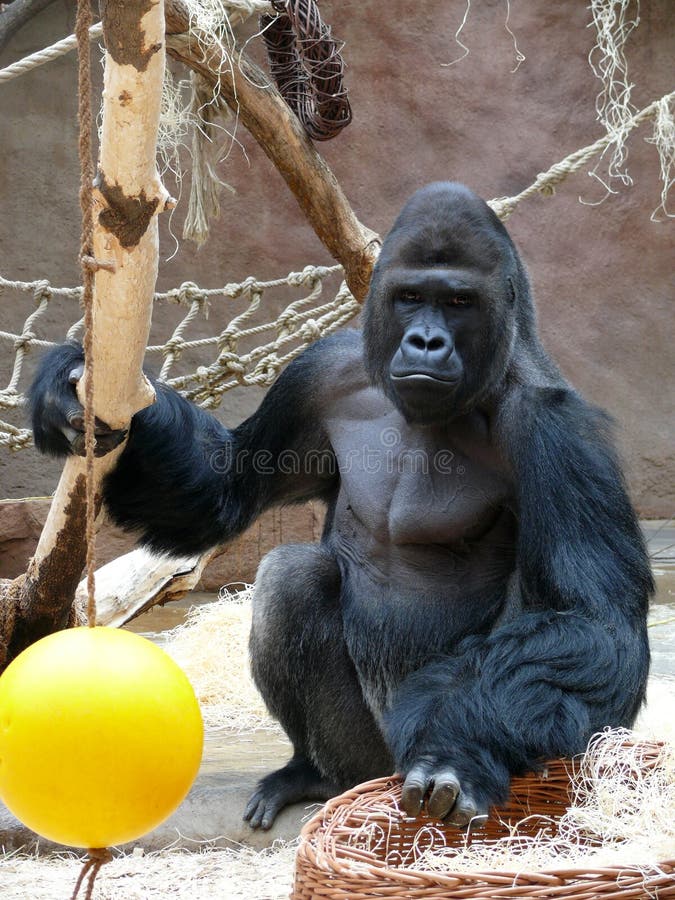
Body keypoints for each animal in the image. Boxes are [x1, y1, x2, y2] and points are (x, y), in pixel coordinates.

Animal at [29, 181, 652, 828]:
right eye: (410, 297)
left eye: (459, 301)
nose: (426, 341)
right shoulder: (321, 372)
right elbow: (223, 489)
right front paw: (67, 382)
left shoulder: (558, 429)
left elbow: (590, 622)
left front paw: (455, 753)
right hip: (363, 757)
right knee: (292, 576)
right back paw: (312, 772)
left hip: (400, 756)